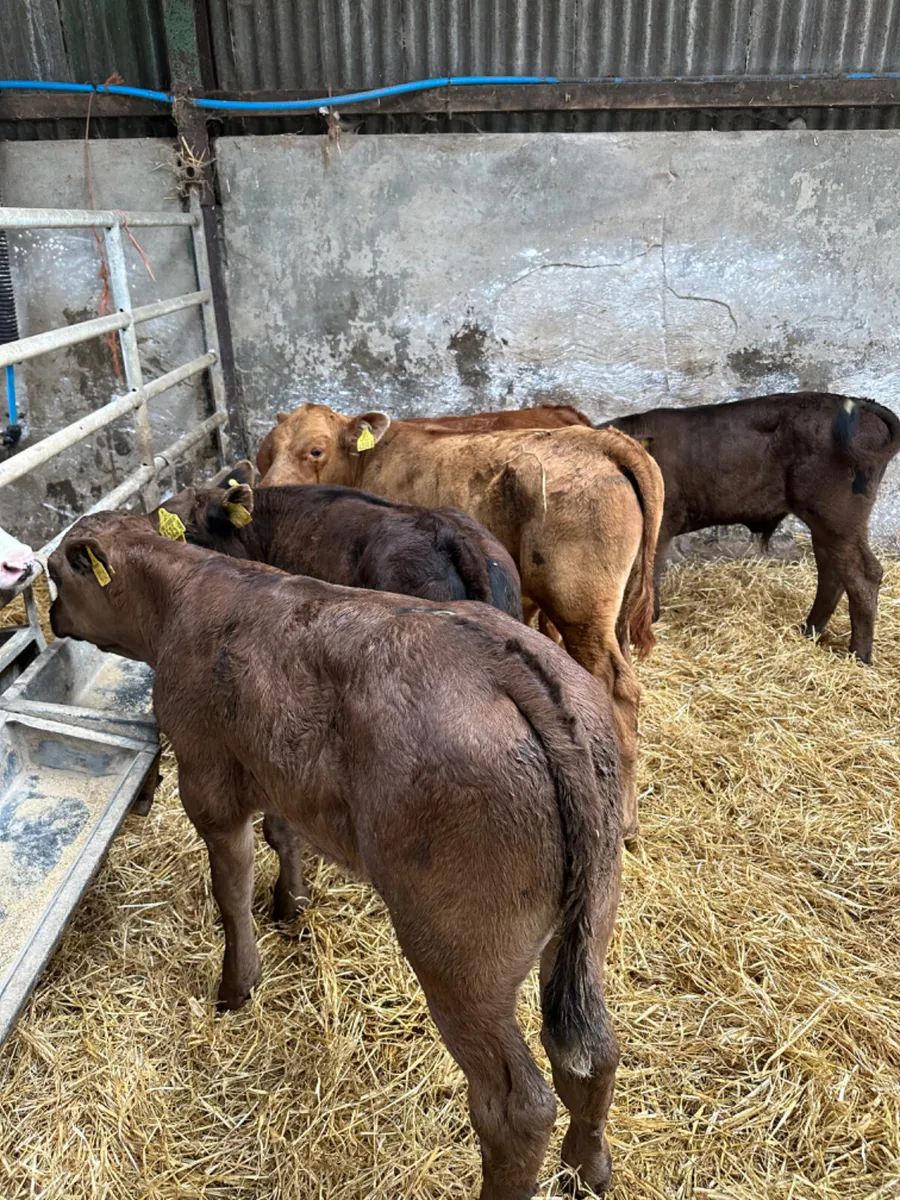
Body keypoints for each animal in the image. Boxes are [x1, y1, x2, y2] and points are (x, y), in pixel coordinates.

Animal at [49, 511, 625, 1199]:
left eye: (54, 574)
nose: (50, 618)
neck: (183, 594)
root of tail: (510, 662)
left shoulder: (208, 778)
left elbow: (230, 888)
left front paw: (237, 984)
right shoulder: (275, 770)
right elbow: (284, 835)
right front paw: (291, 903)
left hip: (460, 951)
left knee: (517, 1106)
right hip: (586, 919)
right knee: (593, 1055)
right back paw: (587, 1170)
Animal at [255, 404, 665, 839]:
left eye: (315, 450)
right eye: (266, 454)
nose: (266, 490)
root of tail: (602, 440)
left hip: (579, 608)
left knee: (617, 688)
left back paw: (623, 819)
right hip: (612, 611)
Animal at [397, 393, 900, 663]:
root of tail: (860, 406)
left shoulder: (658, 534)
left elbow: (644, 585)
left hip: (836, 515)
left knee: (863, 573)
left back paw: (859, 654)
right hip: (826, 521)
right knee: (833, 570)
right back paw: (810, 630)